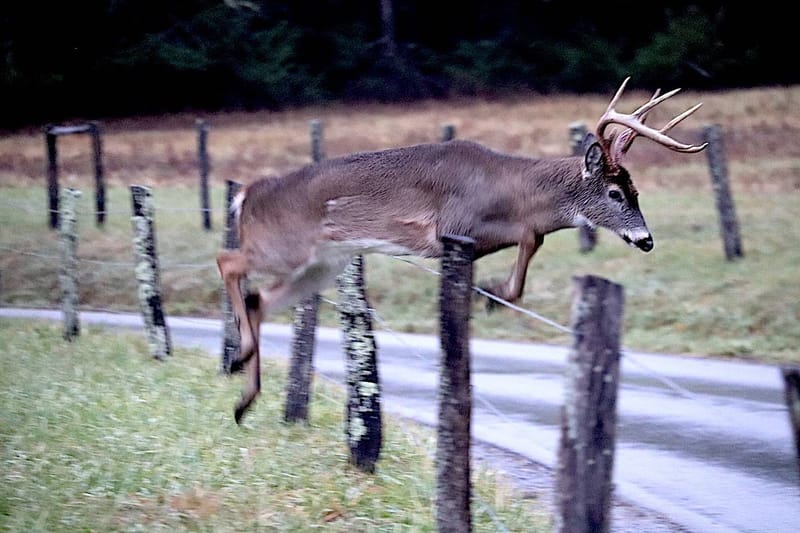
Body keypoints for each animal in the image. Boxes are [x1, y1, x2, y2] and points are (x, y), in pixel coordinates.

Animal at [217, 77, 707, 423]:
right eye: (614, 193)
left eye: (637, 191)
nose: (646, 240)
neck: (511, 189)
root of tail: (246, 195)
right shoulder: (451, 226)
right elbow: (531, 236)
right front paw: (488, 293)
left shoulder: (464, 237)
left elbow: (533, 237)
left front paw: (490, 293)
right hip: (283, 246)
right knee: (229, 261)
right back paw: (239, 359)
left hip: (320, 265)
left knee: (258, 299)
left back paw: (244, 398)